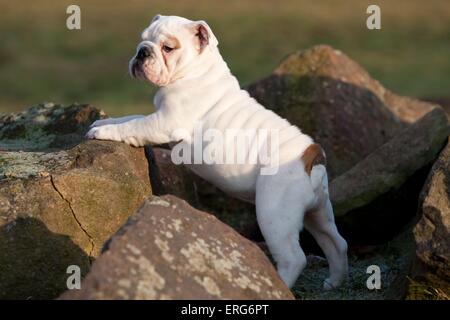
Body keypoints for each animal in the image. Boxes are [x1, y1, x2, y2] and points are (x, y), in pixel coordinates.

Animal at [87, 15, 348, 290]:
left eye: (168, 48)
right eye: (143, 38)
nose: (142, 51)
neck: (196, 73)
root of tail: (312, 154)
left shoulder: (164, 123)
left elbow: (134, 125)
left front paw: (105, 132)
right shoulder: (158, 117)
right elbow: (132, 116)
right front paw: (105, 122)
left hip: (275, 213)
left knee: (294, 258)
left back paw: (279, 284)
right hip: (318, 212)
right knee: (336, 242)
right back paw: (334, 282)